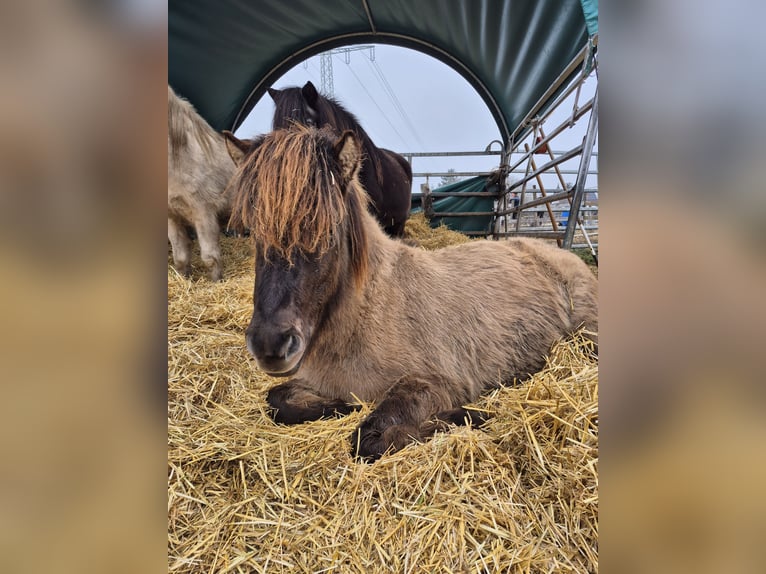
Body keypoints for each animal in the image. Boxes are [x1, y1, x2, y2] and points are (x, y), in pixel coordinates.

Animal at [168, 85, 242, 281]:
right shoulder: (173, 216)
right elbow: (180, 258)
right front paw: (185, 280)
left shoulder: (204, 212)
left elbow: (210, 257)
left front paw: (217, 281)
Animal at [223, 126, 598, 462]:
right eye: (253, 231)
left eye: (327, 230)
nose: (270, 344)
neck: (369, 314)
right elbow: (277, 401)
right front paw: (339, 407)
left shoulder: (433, 382)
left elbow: (370, 438)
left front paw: (467, 417)